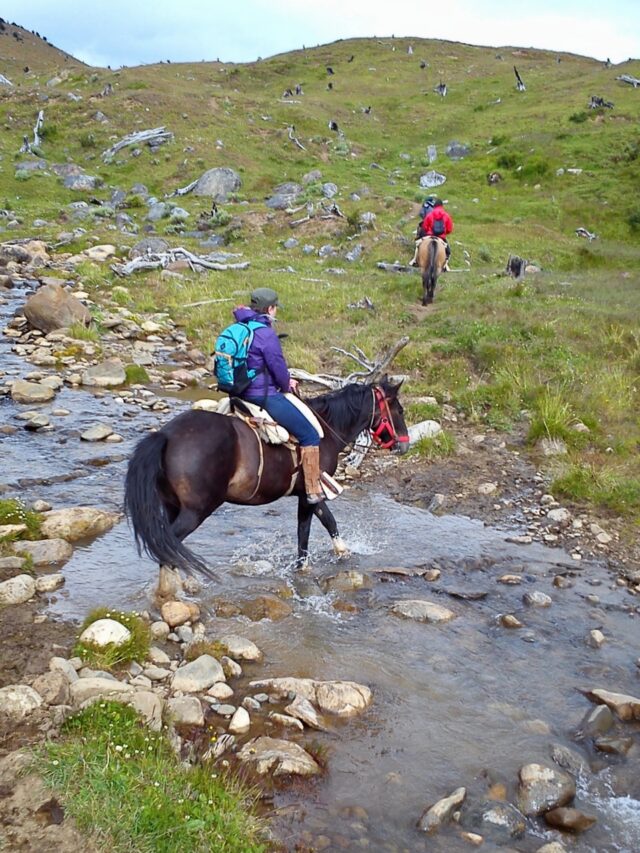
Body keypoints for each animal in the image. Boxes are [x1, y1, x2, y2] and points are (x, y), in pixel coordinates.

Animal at [122, 380, 408, 584]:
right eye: (399, 409)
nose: (404, 445)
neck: (325, 432)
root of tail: (166, 436)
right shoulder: (311, 492)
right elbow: (315, 527)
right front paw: (326, 559)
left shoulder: (307, 493)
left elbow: (316, 526)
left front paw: (330, 557)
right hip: (195, 511)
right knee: (167, 544)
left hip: (173, 506)